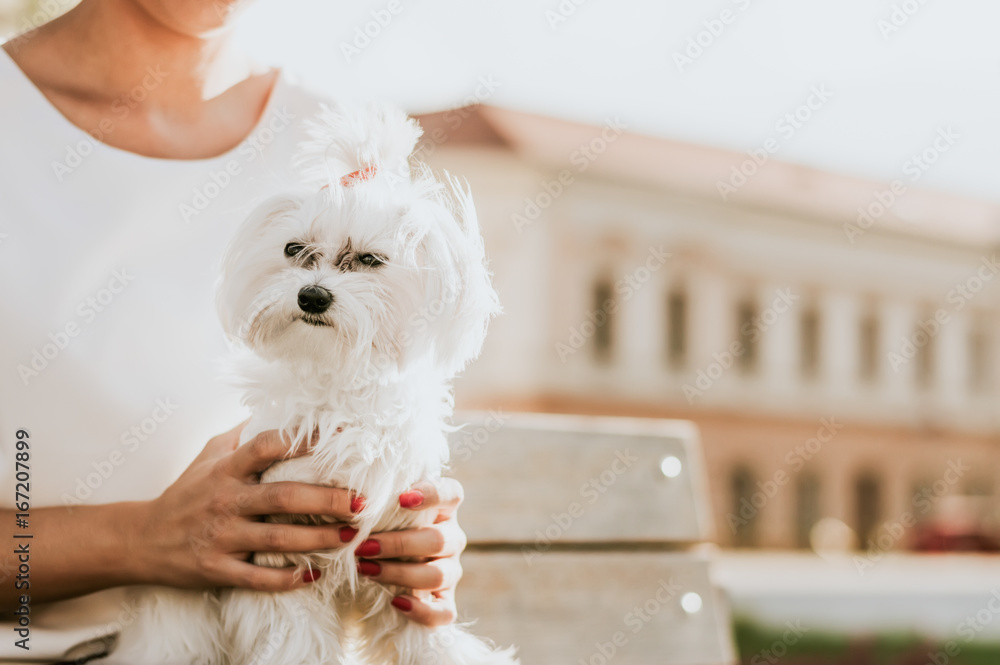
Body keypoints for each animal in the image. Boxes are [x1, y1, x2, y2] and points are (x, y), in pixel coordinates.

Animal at [112, 104, 516, 664]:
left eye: (369, 260)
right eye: (294, 249)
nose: (312, 296)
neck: (337, 386)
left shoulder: (405, 560)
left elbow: (424, 638)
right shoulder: (278, 568)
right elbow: (296, 643)